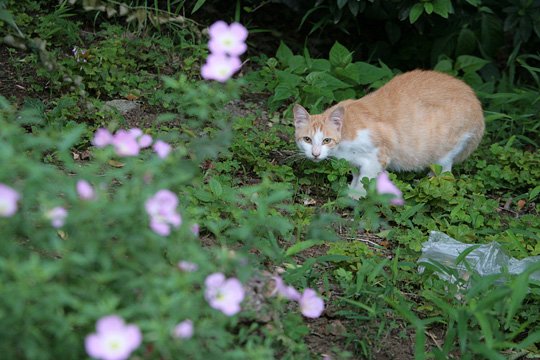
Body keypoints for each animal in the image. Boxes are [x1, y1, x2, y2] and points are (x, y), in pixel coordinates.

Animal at [294, 69, 488, 198]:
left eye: (326, 140)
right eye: (307, 139)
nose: (315, 154)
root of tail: (474, 99)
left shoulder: (378, 157)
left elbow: (365, 181)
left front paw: (355, 197)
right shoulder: (354, 163)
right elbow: (356, 176)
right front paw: (350, 190)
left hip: (444, 151)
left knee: (446, 174)